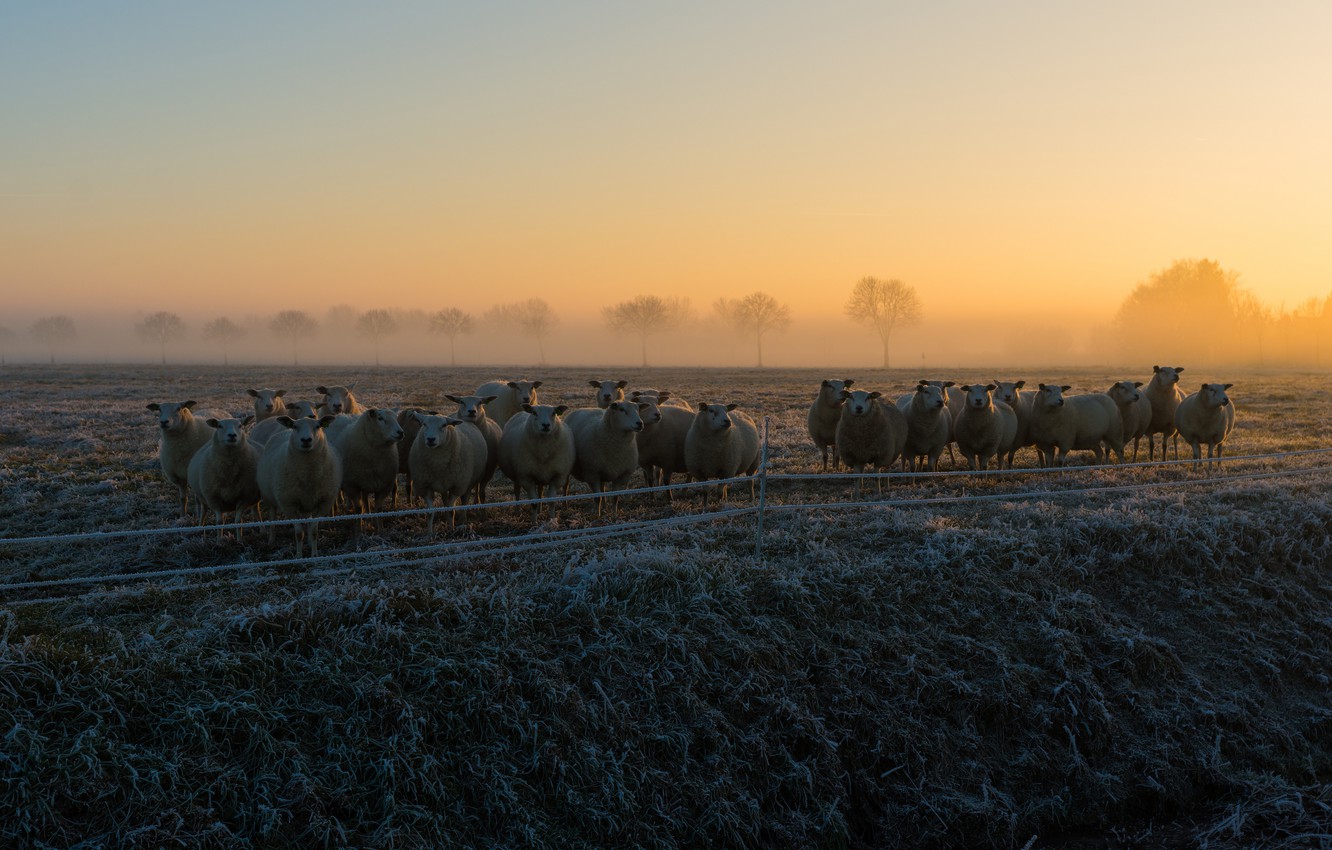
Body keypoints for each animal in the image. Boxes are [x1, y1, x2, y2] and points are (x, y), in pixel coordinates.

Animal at [257, 414, 342, 558]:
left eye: (318, 426)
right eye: (295, 426)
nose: (306, 440)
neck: (308, 474)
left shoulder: (323, 503)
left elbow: (314, 531)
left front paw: (314, 555)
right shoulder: (288, 505)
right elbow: (298, 534)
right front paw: (298, 556)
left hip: (308, 501)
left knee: (308, 520)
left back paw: (308, 542)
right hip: (270, 498)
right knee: (272, 519)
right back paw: (271, 540)